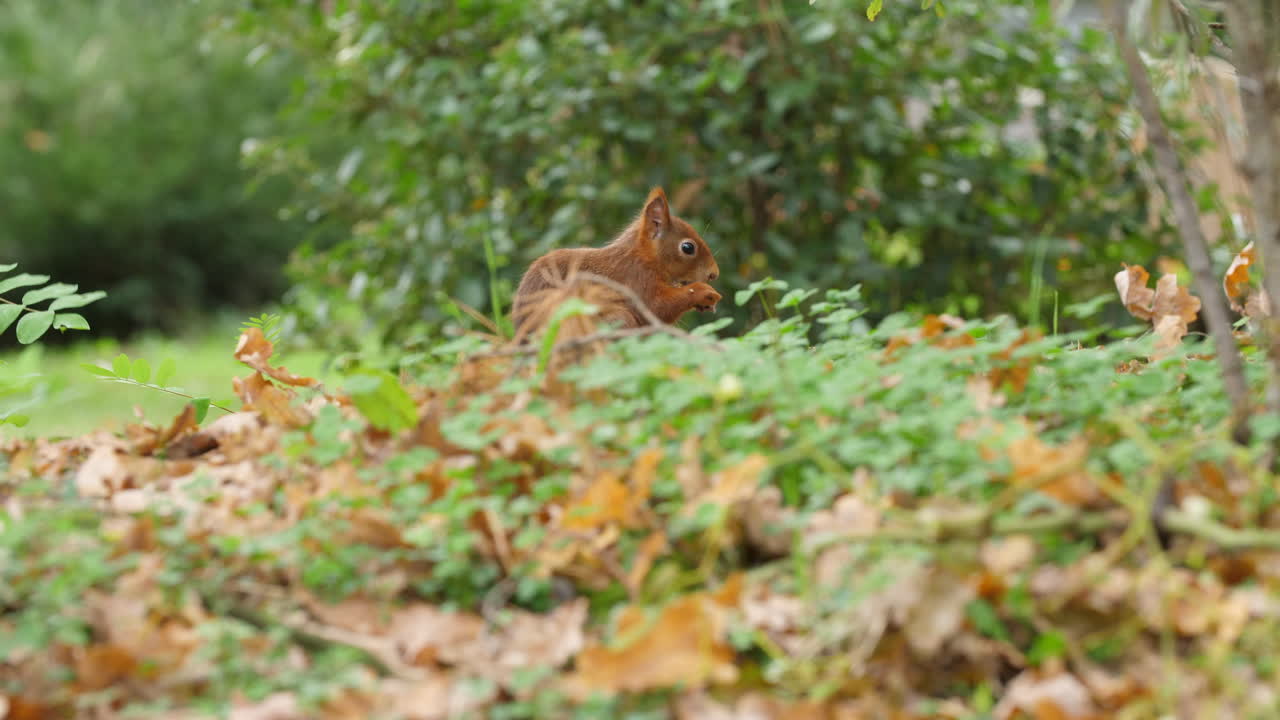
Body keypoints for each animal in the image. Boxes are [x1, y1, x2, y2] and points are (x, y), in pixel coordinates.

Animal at [511, 187, 722, 339]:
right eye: (688, 247)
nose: (714, 274)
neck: (643, 258)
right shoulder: (636, 279)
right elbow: (657, 308)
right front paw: (704, 292)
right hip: (611, 319)